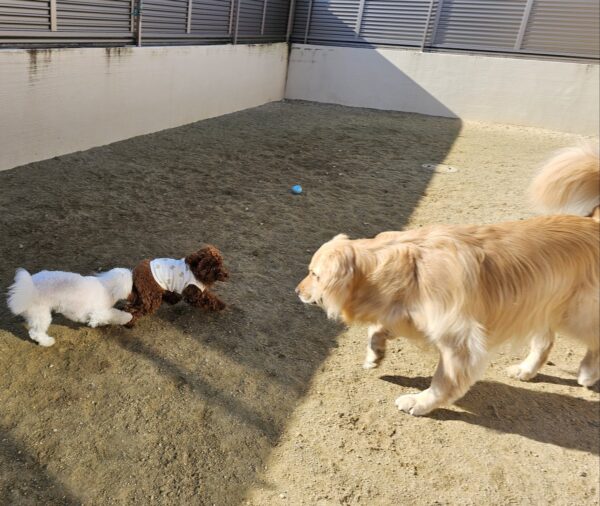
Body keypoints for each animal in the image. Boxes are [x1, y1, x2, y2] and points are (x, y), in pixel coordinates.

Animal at [296, 144, 599, 416]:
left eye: (315, 274)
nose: (297, 291)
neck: (410, 270)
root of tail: (594, 222)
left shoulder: (460, 341)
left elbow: (444, 380)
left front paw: (420, 402)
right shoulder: (406, 315)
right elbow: (378, 327)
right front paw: (375, 353)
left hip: (576, 314)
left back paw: (587, 373)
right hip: (540, 303)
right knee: (545, 342)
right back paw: (526, 370)